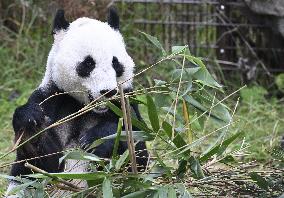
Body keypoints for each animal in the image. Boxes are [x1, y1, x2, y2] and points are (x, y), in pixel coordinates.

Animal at [6, 7, 149, 195]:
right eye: (88, 63)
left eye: (115, 63)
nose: (108, 92)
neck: (84, 106)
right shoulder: (52, 98)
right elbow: (43, 165)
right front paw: (31, 126)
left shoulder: (125, 101)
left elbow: (137, 156)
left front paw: (95, 139)